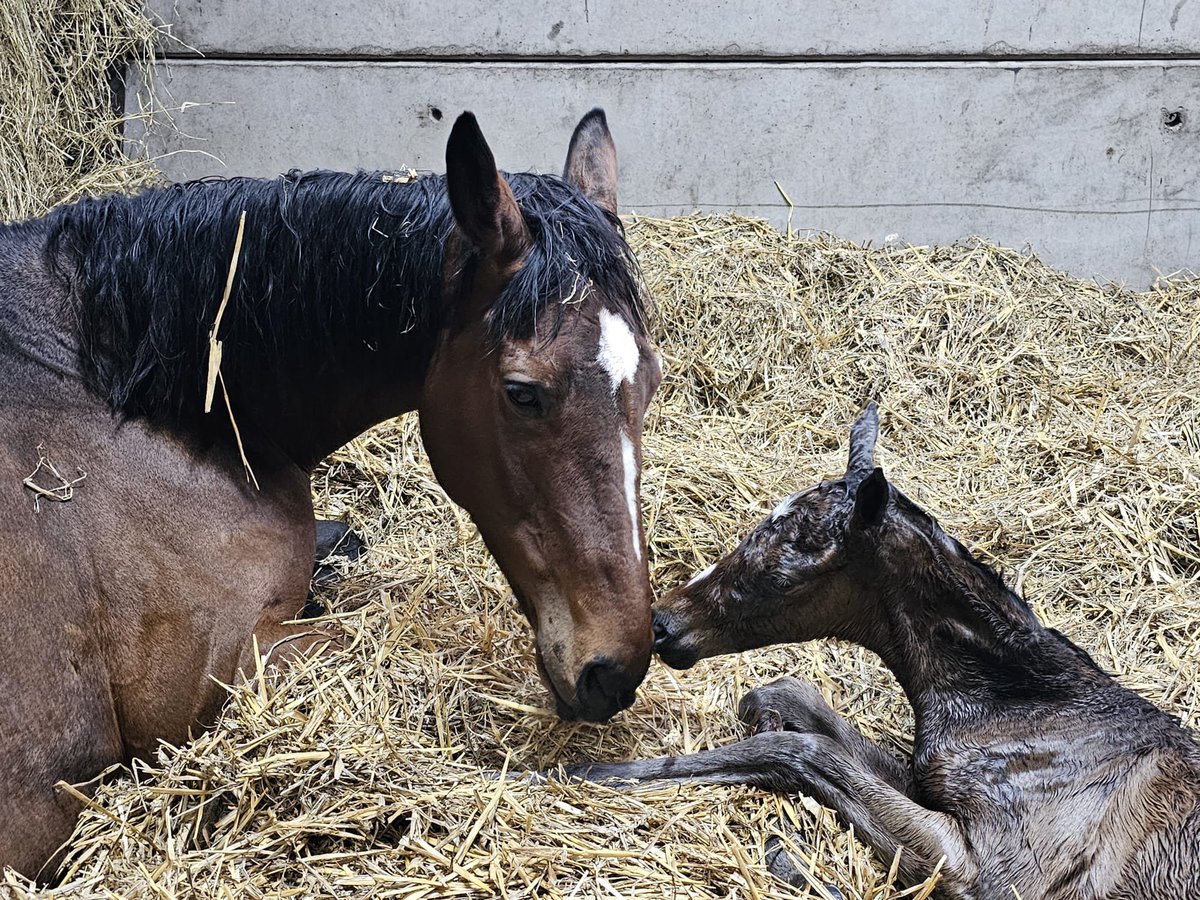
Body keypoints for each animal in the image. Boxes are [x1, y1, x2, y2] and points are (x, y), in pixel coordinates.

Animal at [572, 404, 1200, 899]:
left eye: (788, 567)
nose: (663, 625)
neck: (1028, 708)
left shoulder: (987, 868)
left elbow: (798, 751)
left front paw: (585, 773)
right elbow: (788, 700)